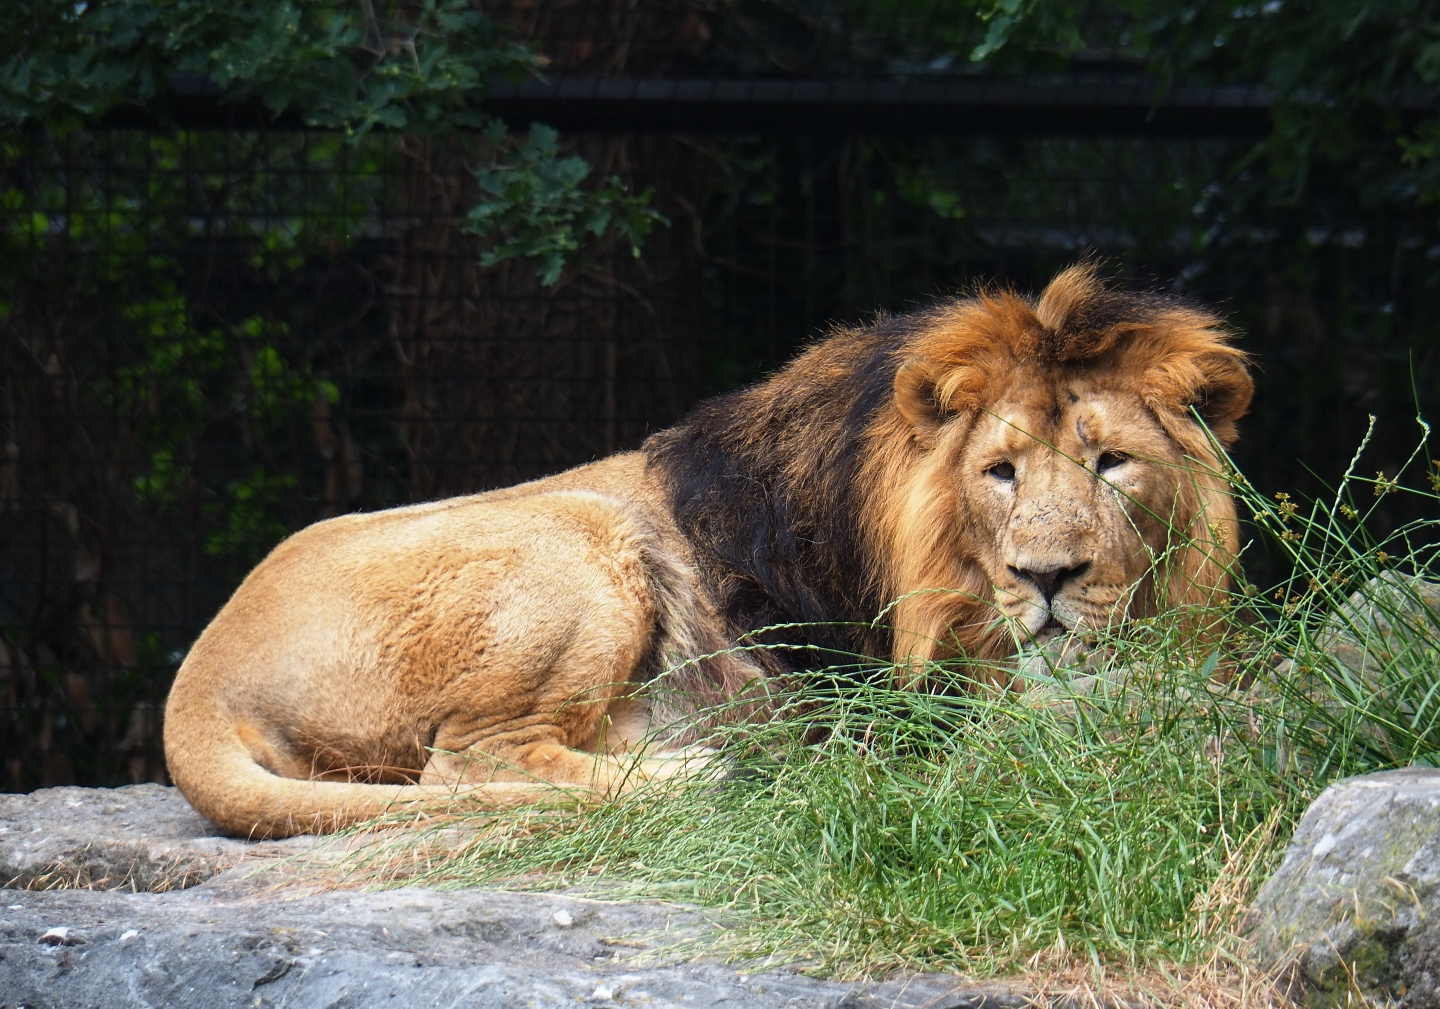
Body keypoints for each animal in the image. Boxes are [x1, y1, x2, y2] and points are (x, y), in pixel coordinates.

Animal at [164, 264, 1252, 838]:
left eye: (1111, 462)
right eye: (1000, 471)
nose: (1047, 578)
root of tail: (200, 675)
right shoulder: (914, 690)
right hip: (577, 533)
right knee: (465, 764)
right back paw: (720, 771)